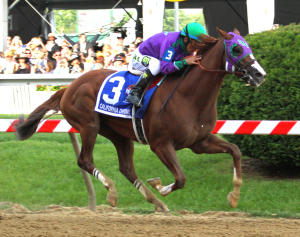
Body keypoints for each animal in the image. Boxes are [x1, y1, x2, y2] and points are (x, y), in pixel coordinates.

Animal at [12, 28, 266, 212]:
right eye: (236, 49)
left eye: (249, 46)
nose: (259, 74)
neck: (190, 96)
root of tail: (68, 87)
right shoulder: (161, 144)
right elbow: (181, 179)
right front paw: (161, 186)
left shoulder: (199, 142)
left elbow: (235, 151)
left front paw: (234, 197)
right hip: (88, 125)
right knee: (85, 160)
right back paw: (114, 192)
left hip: (118, 134)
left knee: (126, 168)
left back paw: (156, 202)